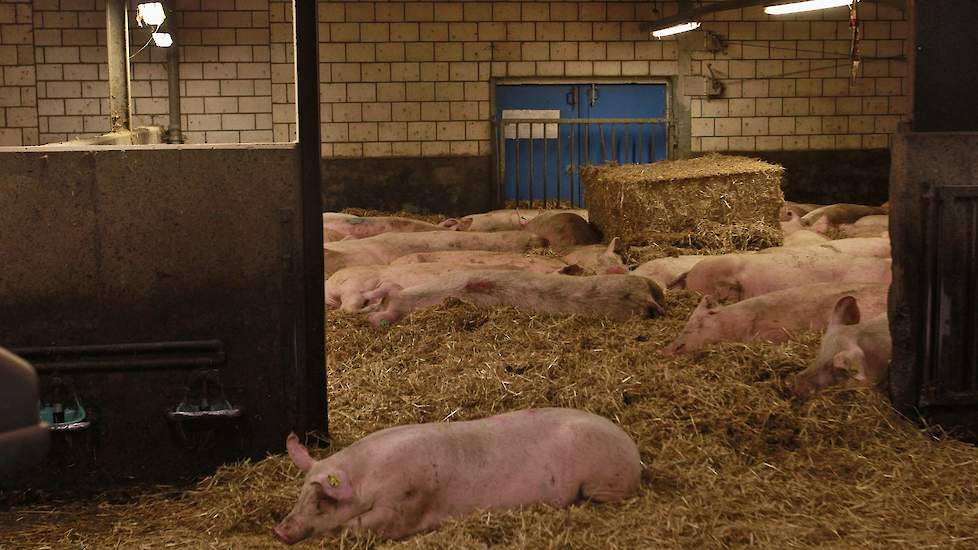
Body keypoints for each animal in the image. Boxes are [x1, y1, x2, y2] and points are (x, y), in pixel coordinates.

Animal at [274, 408, 640, 544]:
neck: (365, 479)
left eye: (322, 500)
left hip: (603, 481)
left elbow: (358, 525)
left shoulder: (405, 501)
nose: (279, 530)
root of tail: (634, 452)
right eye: (301, 495)